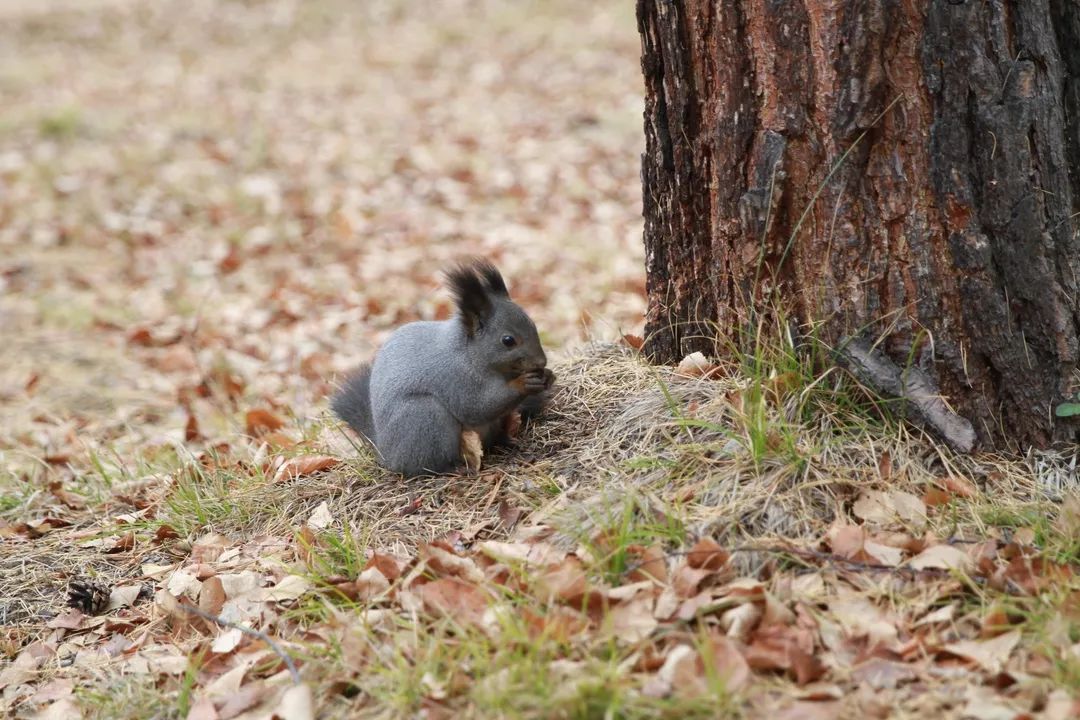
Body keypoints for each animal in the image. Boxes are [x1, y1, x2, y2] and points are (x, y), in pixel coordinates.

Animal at [330, 260, 557, 479]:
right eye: (508, 340)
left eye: (533, 324)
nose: (541, 361)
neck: (469, 354)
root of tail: (387, 454)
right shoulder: (453, 377)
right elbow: (475, 406)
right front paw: (523, 383)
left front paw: (547, 376)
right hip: (424, 416)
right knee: (426, 465)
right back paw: (453, 468)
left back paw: (508, 442)